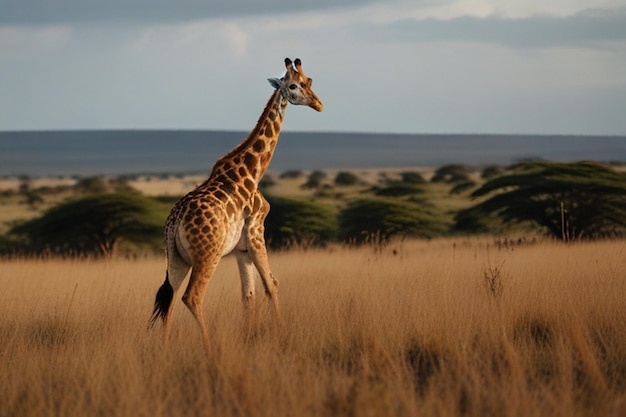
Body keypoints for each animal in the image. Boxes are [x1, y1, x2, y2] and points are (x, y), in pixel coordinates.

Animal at [147, 57, 322, 352]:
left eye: (309, 81)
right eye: (294, 85)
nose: (318, 103)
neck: (252, 172)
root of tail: (174, 222)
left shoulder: (241, 249)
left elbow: (248, 294)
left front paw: (250, 338)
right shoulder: (256, 232)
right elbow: (271, 285)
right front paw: (281, 336)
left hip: (175, 257)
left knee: (168, 299)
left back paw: (164, 350)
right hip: (207, 256)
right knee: (192, 297)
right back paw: (209, 348)